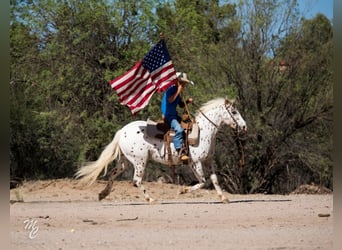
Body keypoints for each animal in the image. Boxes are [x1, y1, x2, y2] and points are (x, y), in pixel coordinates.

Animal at [75, 97, 246, 203]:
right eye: (234, 112)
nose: (244, 127)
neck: (203, 131)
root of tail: (122, 131)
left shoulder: (208, 161)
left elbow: (214, 179)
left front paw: (223, 198)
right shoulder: (195, 162)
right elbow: (203, 182)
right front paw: (182, 191)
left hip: (125, 161)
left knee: (112, 174)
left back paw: (103, 194)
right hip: (140, 161)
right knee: (136, 180)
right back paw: (151, 199)